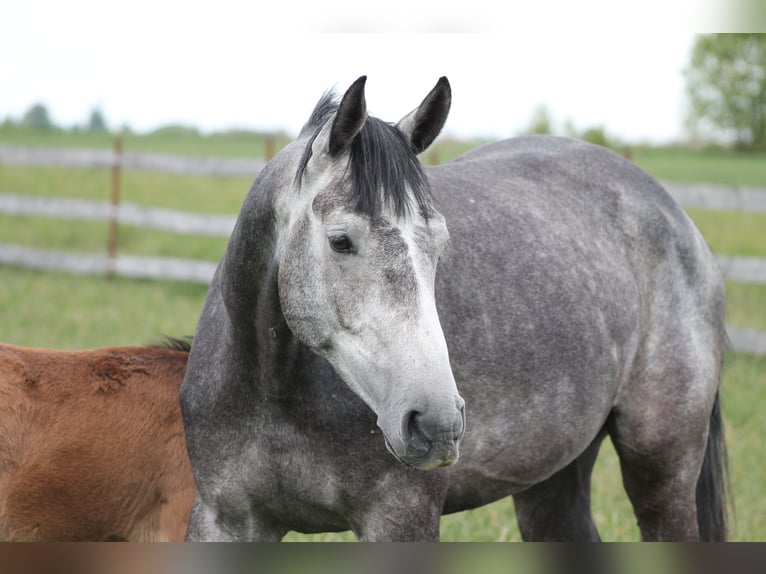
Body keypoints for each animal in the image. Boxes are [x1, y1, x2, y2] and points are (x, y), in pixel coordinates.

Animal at [180, 76, 728, 541]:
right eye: (340, 241)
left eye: (440, 245)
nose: (436, 422)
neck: (271, 388)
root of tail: (672, 212)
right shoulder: (224, 520)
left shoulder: (401, 521)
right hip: (552, 479)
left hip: (662, 467)